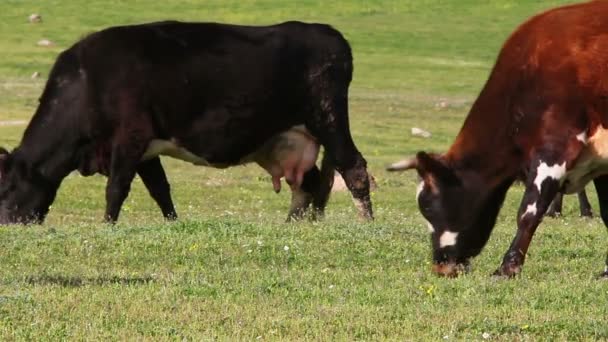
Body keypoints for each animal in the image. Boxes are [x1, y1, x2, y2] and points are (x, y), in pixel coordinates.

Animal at [0, 20, 376, 224]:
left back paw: (366, 223)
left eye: (8, 188)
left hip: (328, 119)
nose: (6, 225)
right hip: (291, 138)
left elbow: (116, 189)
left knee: (353, 168)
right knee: (308, 184)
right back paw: (291, 226)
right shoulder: (145, 148)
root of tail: (329, 34)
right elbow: (160, 190)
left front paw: (107, 225)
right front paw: (172, 223)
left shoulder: (129, 137)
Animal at [390, 0, 608, 278]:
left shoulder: (554, 148)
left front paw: (507, 267)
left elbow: (529, 212)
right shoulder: (599, 159)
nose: (440, 265)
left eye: (427, 206)